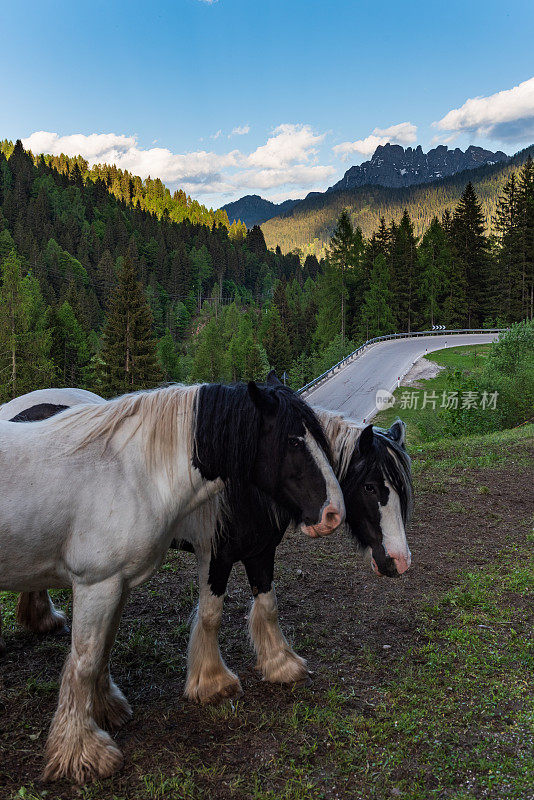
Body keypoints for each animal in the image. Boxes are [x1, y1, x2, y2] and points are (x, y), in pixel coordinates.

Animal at [0, 382, 344, 780]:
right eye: (292, 440)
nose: (333, 513)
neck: (129, 472)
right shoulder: (99, 583)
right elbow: (84, 662)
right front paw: (82, 752)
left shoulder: (121, 583)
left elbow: (103, 649)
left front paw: (106, 709)